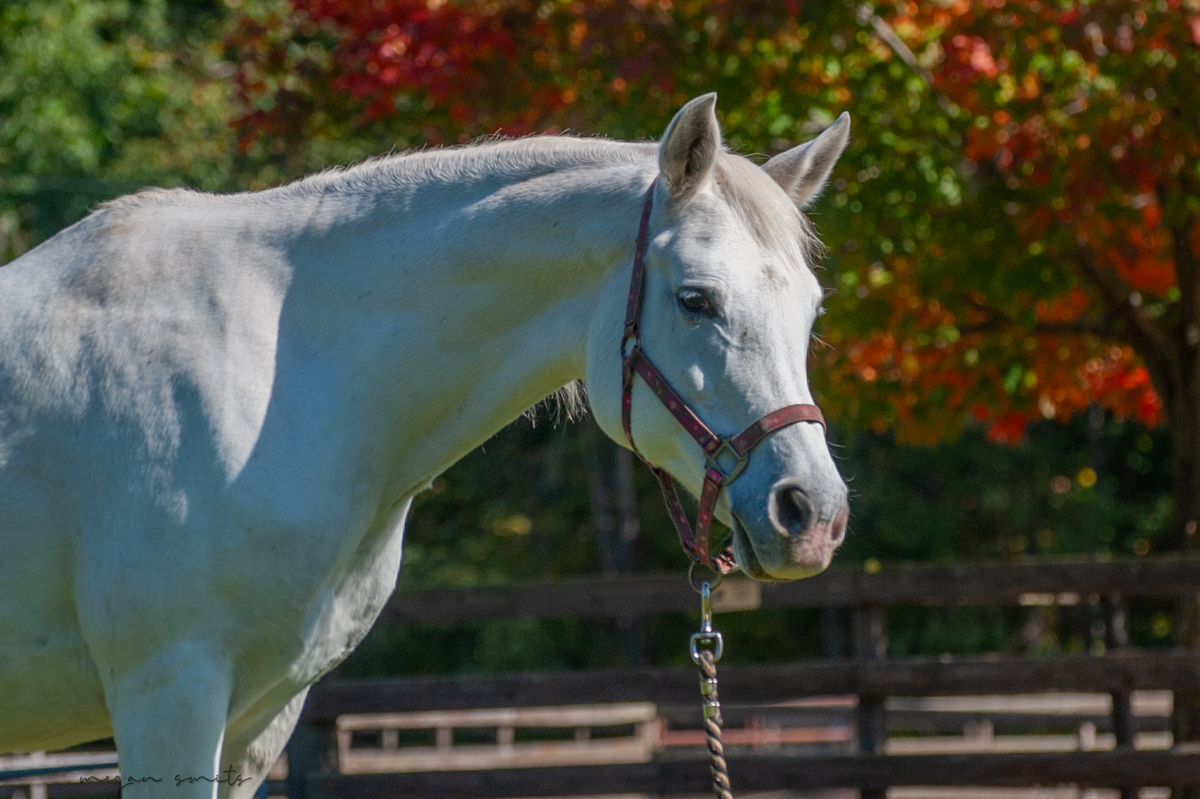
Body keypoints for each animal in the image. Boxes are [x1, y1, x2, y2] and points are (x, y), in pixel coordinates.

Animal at [0, 94, 850, 797]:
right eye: (696, 300)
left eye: (812, 310)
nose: (812, 512)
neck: (281, 376)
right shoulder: (167, 693)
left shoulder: (259, 720)